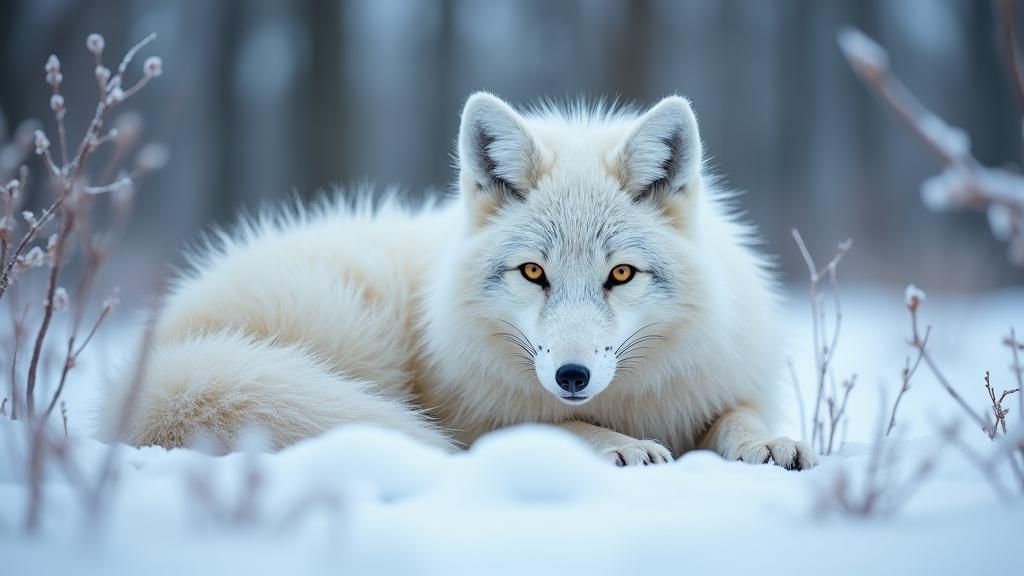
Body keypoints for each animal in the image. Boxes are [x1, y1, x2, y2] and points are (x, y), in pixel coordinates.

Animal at [98, 92, 815, 470]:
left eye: (620, 274)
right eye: (533, 272)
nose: (572, 376)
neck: (627, 404)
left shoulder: (713, 386)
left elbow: (738, 416)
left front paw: (769, 442)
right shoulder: (481, 420)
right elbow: (557, 428)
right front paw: (617, 445)